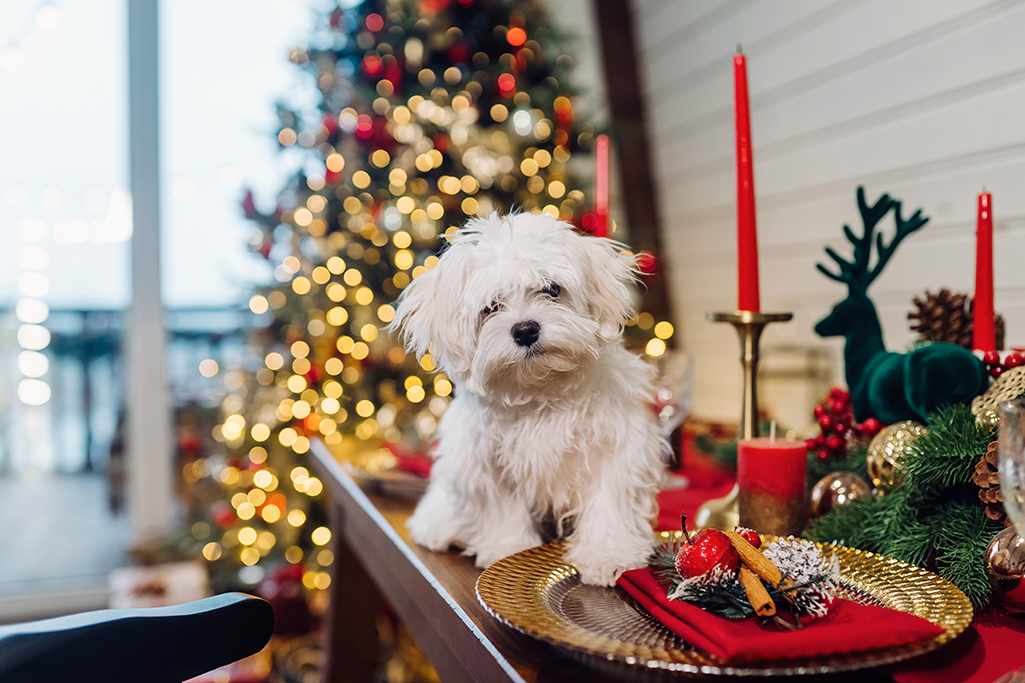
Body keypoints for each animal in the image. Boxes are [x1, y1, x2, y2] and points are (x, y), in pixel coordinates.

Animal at [387, 213, 660, 586]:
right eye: (490, 307)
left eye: (552, 289)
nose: (526, 329)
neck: (539, 390)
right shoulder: (485, 463)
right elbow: (501, 510)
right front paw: (508, 550)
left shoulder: (616, 449)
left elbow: (609, 503)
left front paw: (608, 555)